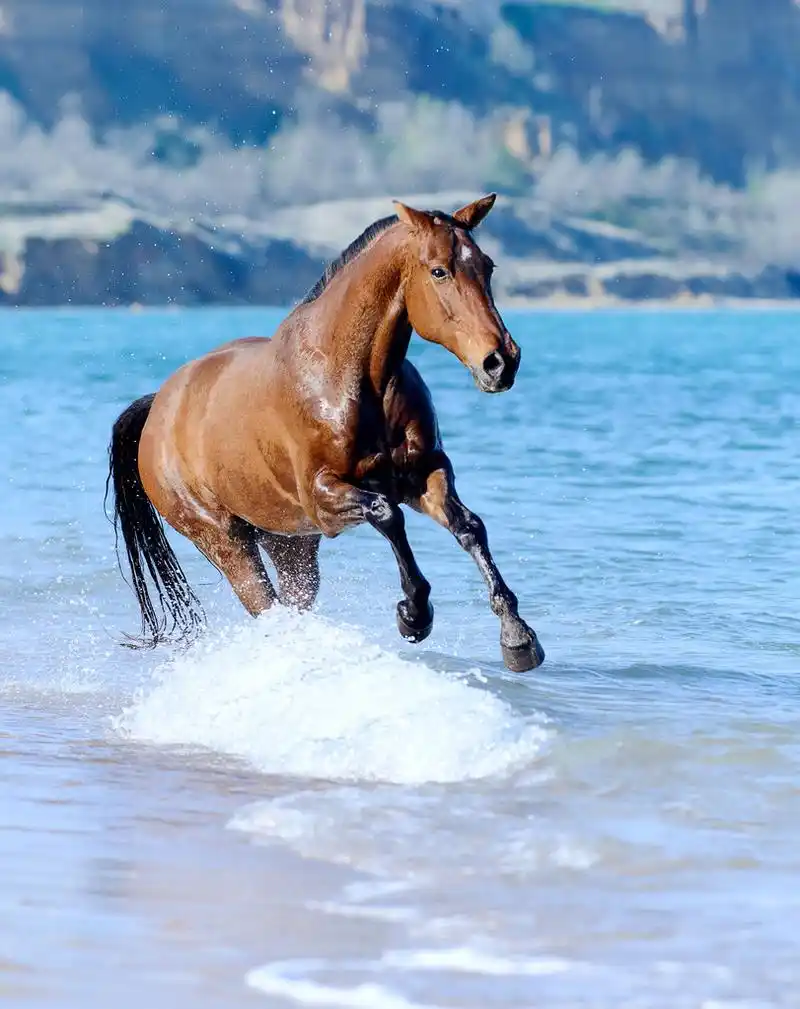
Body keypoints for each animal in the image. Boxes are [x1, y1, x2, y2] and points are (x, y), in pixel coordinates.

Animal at [107, 194, 545, 672]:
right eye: (438, 271)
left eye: (487, 266)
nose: (500, 362)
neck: (352, 379)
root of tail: (157, 410)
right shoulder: (325, 497)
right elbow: (387, 514)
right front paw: (413, 614)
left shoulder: (423, 473)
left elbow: (469, 526)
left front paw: (518, 638)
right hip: (226, 541)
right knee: (265, 604)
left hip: (290, 545)